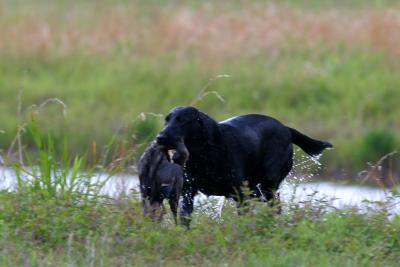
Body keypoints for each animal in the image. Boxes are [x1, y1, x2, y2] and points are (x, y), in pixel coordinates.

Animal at [155, 105, 332, 227]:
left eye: (183, 121)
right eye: (166, 120)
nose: (159, 137)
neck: (204, 153)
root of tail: (287, 129)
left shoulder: (239, 194)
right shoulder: (188, 192)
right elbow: (185, 217)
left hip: (268, 184)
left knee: (275, 207)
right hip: (257, 188)